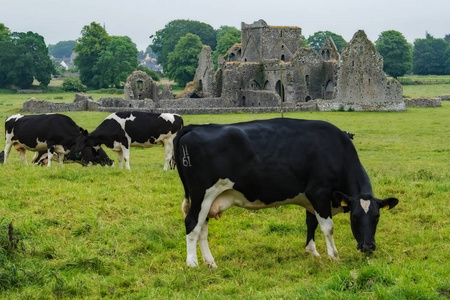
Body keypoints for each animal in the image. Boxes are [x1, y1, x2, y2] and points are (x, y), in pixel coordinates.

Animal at [174, 117, 400, 268]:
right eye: (354, 217)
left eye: (377, 217)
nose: (368, 247)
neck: (337, 150)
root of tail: (194, 127)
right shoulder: (319, 192)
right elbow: (328, 227)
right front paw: (334, 256)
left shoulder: (311, 198)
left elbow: (311, 222)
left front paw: (312, 251)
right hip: (202, 194)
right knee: (192, 224)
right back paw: (192, 264)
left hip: (208, 200)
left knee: (202, 228)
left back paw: (211, 263)